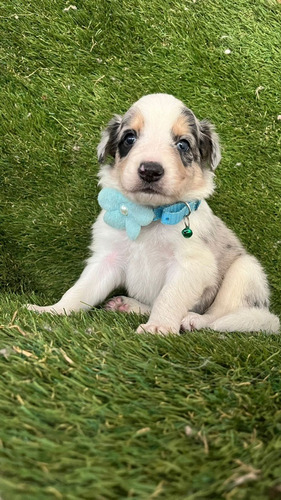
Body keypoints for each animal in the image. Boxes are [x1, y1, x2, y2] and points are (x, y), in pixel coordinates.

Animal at [27, 94, 278, 336]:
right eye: (129, 138)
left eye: (183, 144)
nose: (150, 170)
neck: (147, 215)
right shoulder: (106, 258)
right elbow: (80, 291)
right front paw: (51, 310)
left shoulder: (190, 265)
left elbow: (169, 298)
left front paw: (159, 327)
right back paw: (128, 305)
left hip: (245, 270)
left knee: (220, 315)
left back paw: (194, 319)